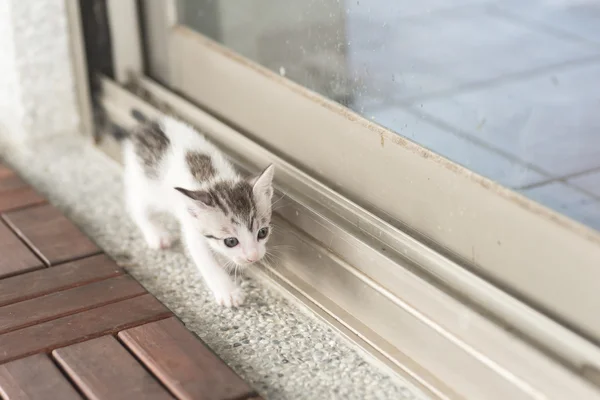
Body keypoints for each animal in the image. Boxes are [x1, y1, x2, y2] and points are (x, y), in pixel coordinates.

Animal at [122, 111, 276, 308]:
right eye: (231, 241)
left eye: (262, 232)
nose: (253, 257)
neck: (213, 180)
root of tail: (148, 124)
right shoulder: (192, 228)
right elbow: (205, 260)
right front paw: (228, 291)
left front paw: (228, 262)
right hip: (146, 185)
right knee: (136, 205)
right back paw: (155, 233)